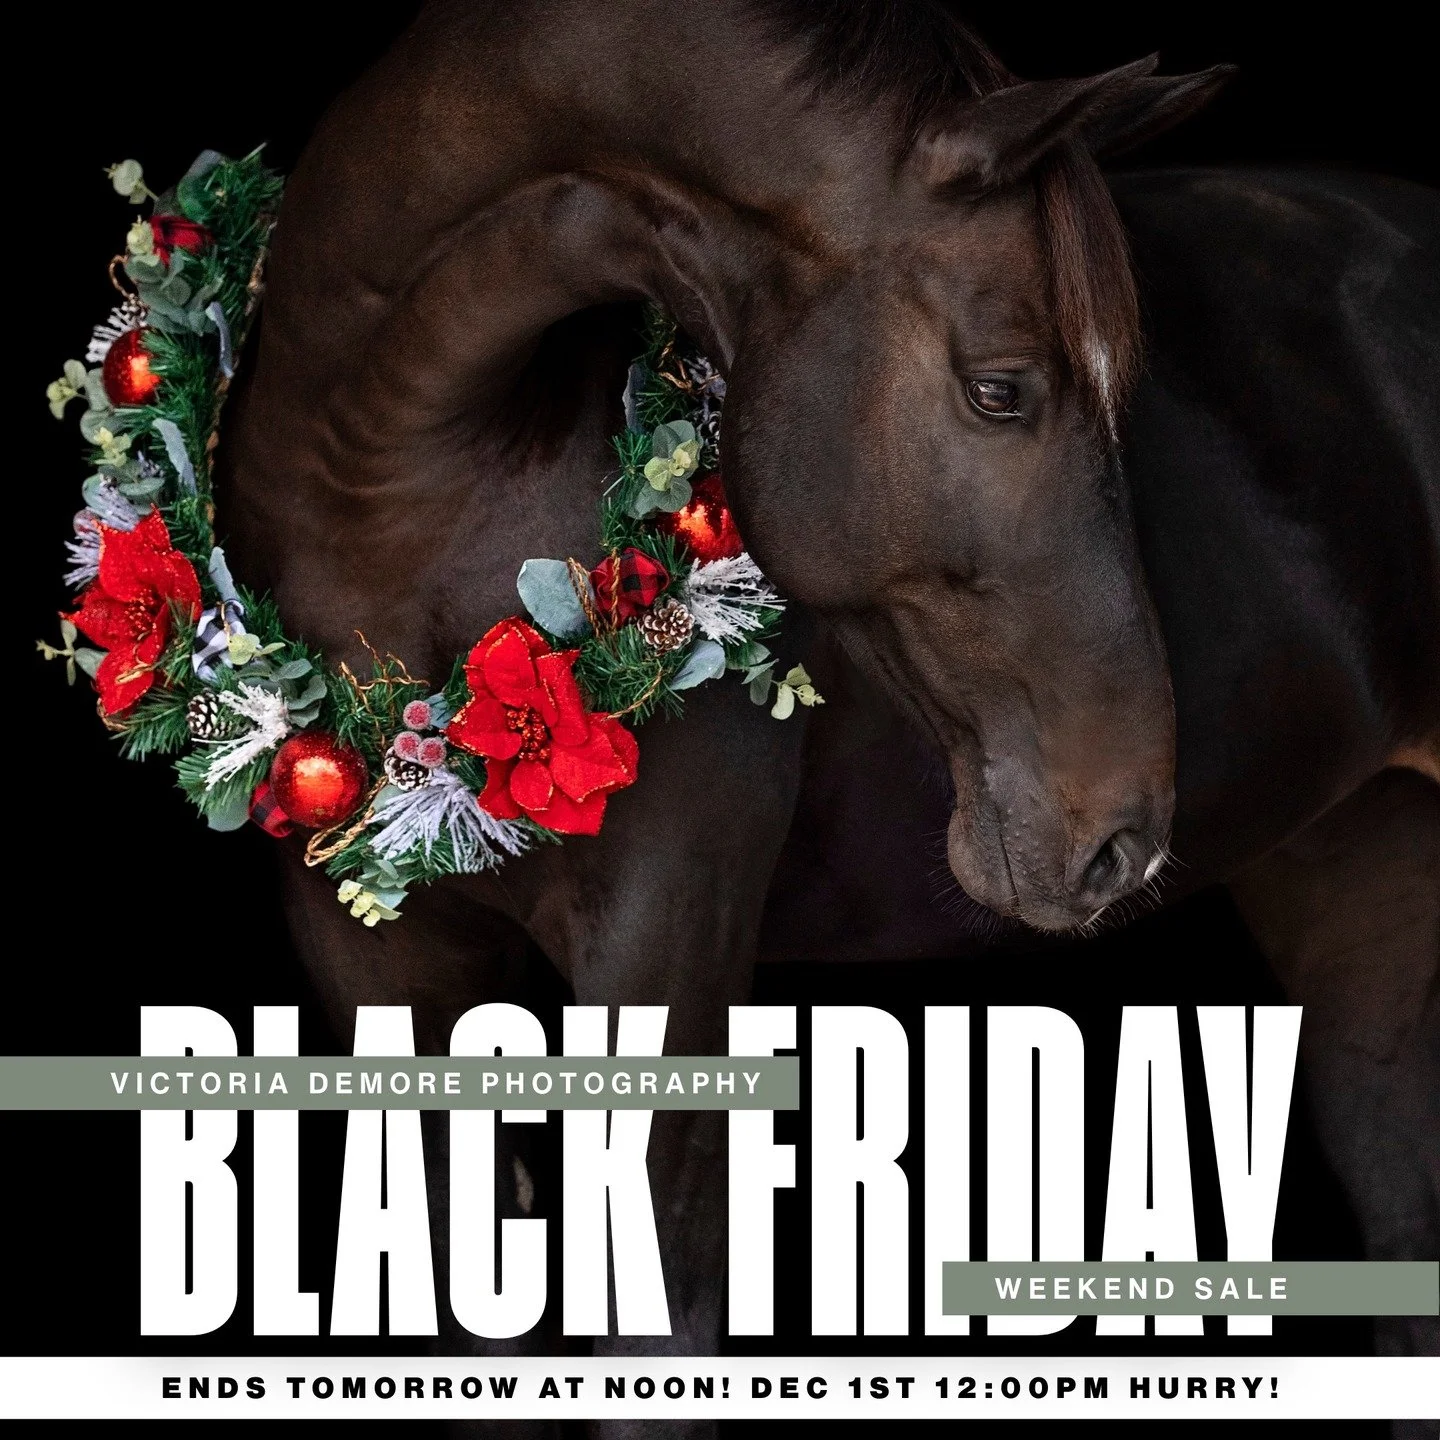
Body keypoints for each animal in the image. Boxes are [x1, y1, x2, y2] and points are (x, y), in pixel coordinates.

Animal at [219, 0, 1439, 1424]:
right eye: (1001, 388)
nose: (1122, 840)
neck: (390, 489)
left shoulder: (667, 952)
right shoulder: (376, 969)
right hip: (1361, 884)